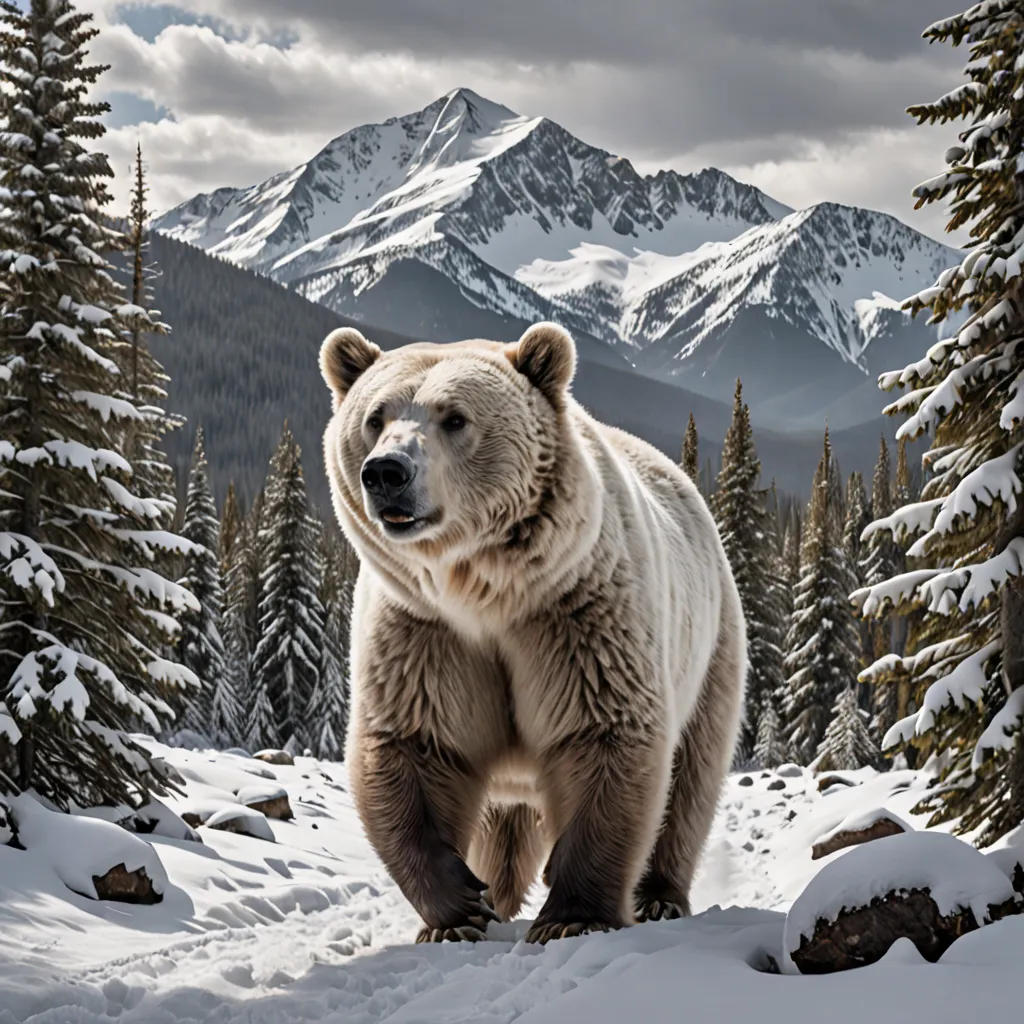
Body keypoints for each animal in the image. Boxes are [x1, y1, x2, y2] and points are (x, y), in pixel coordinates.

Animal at [320, 321, 746, 944]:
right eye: (375, 416)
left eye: (454, 417)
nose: (386, 472)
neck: (485, 591)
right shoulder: (425, 633)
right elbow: (415, 744)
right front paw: (458, 911)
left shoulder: (577, 616)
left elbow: (604, 734)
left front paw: (572, 916)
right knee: (505, 826)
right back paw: (498, 890)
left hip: (710, 647)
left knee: (690, 779)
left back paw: (659, 895)